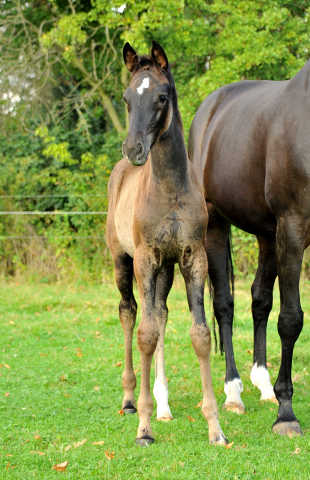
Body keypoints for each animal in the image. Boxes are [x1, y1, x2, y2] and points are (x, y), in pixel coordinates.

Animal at [107, 41, 228, 446]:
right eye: (127, 98)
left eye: (161, 97)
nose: (134, 149)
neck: (170, 189)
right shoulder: (145, 258)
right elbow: (144, 334)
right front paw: (144, 429)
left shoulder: (192, 258)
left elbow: (200, 334)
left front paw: (215, 427)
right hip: (123, 261)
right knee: (130, 312)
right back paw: (131, 400)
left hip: (166, 269)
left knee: (159, 313)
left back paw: (163, 404)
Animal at [188, 62, 310, 436]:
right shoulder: (294, 227)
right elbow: (291, 319)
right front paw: (286, 414)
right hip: (216, 225)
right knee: (224, 305)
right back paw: (233, 392)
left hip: (269, 235)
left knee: (260, 300)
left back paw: (263, 382)